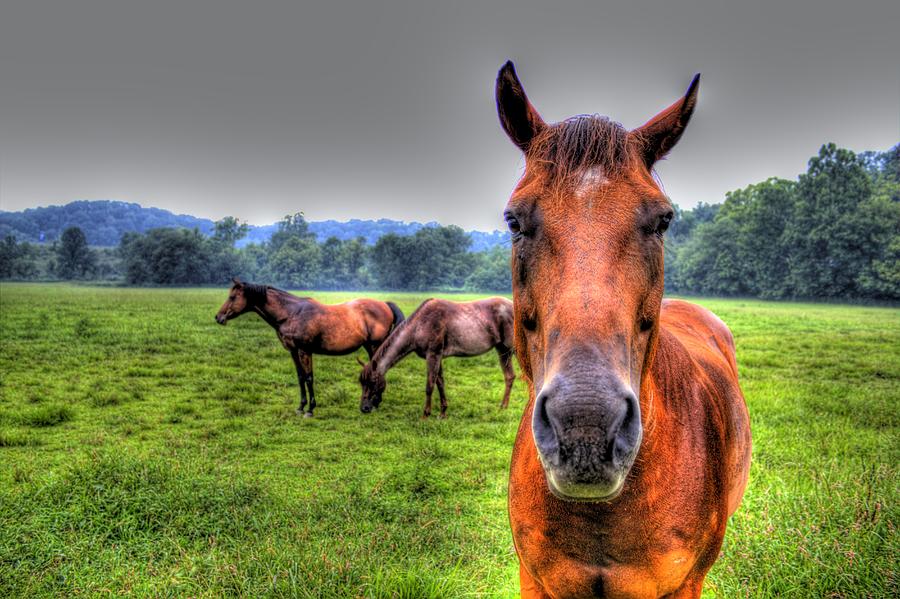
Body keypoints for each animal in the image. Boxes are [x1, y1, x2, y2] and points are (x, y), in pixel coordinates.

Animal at [215, 278, 404, 417]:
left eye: (232, 297)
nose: (218, 317)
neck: (291, 314)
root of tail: (385, 304)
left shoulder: (305, 351)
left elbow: (309, 378)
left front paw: (310, 409)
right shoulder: (293, 351)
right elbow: (300, 377)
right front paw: (301, 407)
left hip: (375, 346)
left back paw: (375, 403)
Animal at [358, 297, 516, 418]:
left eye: (372, 382)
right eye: (361, 382)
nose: (364, 408)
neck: (419, 325)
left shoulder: (433, 355)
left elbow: (430, 385)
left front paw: (425, 415)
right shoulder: (438, 357)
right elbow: (440, 384)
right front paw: (443, 413)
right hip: (503, 350)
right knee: (509, 376)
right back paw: (503, 406)